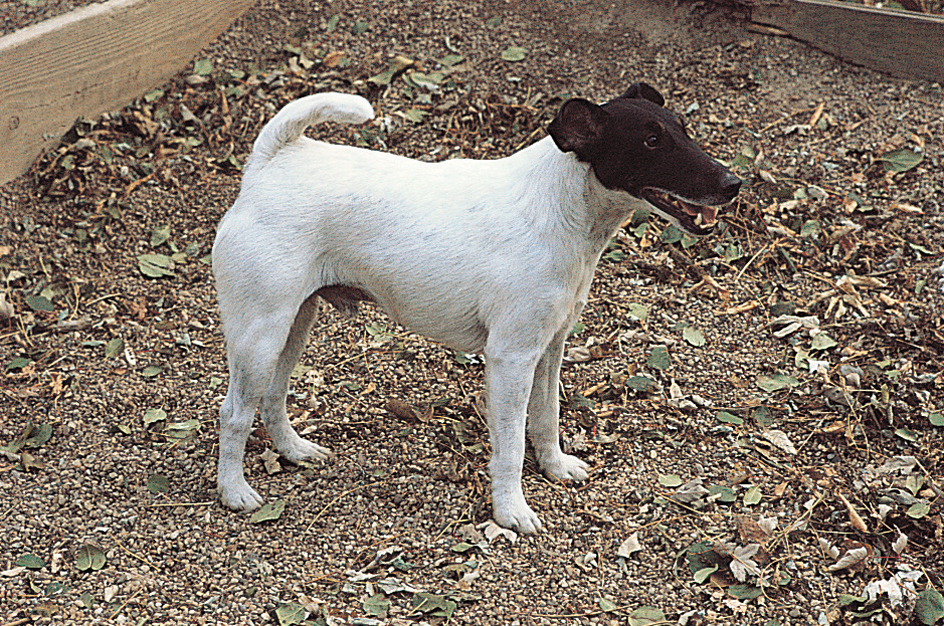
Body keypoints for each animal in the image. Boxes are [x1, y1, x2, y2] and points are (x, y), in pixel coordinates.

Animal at [214, 84, 736, 532]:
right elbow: (510, 447)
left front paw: (555, 466)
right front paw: (511, 511)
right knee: (234, 412)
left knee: (273, 397)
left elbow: (546, 417)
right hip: (260, 337)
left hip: (293, 327)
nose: (734, 183)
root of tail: (269, 163)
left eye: (683, 129)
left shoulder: (548, 350)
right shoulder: (510, 360)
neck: (558, 206)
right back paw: (234, 491)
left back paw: (294, 450)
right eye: (651, 141)